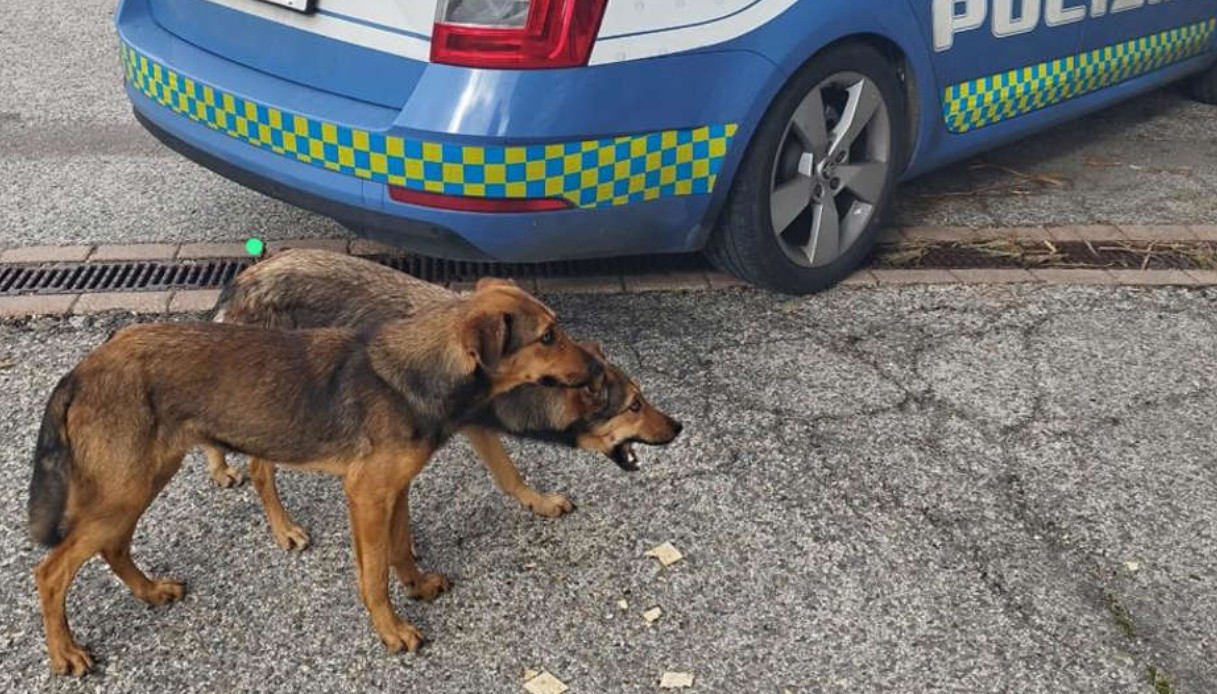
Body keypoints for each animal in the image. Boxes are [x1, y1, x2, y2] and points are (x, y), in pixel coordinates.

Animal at [26, 278, 596, 672]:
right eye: (548, 336)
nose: (595, 368)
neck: (420, 369)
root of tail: (78, 373)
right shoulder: (366, 494)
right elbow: (374, 574)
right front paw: (392, 631)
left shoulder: (394, 489)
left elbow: (400, 549)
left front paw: (416, 585)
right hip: (124, 489)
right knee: (51, 572)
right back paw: (66, 653)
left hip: (142, 481)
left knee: (114, 546)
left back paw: (151, 593)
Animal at [209, 245, 686, 547]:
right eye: (634, 405)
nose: (680, 426)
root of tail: (245, 278)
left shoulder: (475, 426)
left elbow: (509, 475)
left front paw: (539, 503)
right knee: (261, 469)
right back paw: (283, 527)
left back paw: (220, 468)